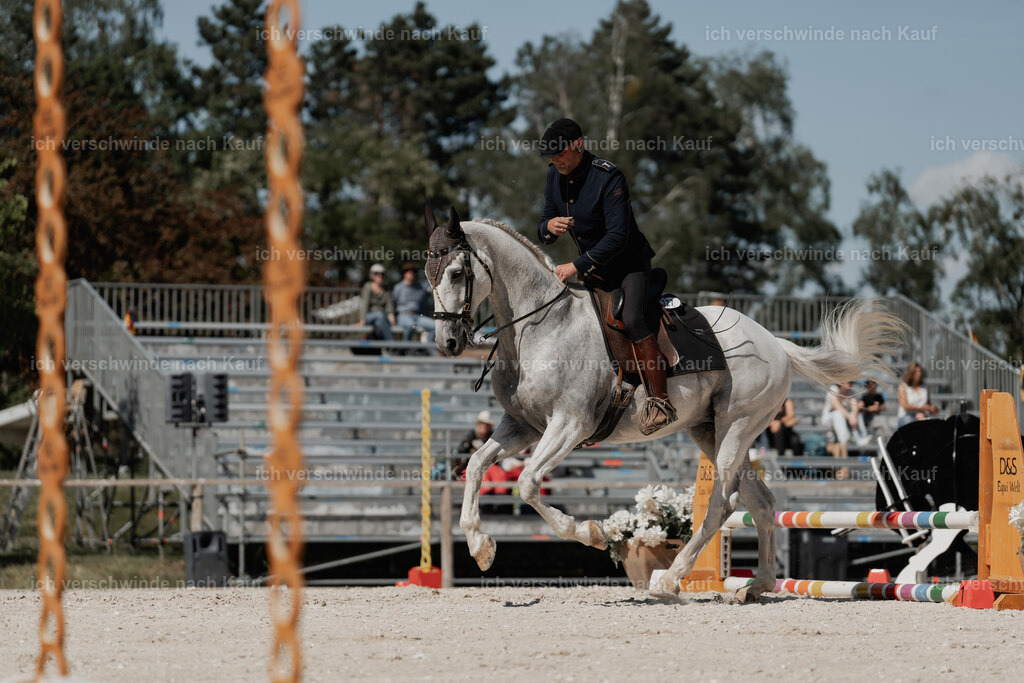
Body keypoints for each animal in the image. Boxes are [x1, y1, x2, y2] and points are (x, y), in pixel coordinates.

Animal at [424, 205, 905, 601]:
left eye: (455, 274)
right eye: (428, 274)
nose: (448, 343)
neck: (541, 327)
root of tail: (777, 343)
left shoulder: (569, 425)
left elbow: (526, 483)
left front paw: (591, 532)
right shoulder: (522, 425)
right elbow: (476, 466)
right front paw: (481, 547)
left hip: (735, 427)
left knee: (723, 504)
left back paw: (672, 579)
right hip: (709, 431)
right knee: (763, 503)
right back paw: (756, 586)